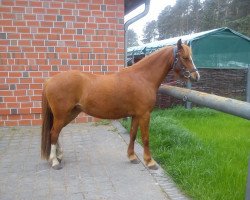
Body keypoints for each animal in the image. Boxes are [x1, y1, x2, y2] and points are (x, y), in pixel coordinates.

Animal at [42, 39, 200, 170]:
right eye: (185, 57)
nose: (196, 76)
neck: (142, 78)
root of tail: (50, 80)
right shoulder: (145, 114)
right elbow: (145, 138)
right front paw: (150, 162)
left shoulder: (136, 115)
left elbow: (133, 135)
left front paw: (132, 157)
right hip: (62, 114)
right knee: (54, 133)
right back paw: (55, 161)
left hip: (70, 113)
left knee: (55, 132)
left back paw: (59, 156)